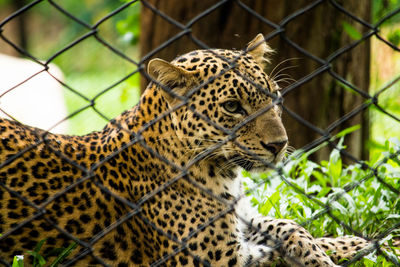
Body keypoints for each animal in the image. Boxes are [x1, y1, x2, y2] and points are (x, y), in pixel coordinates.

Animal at [0, 34, 372, 266]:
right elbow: (274, 250)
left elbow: (292, 227)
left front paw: (357, 242)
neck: (224, 174)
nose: (279, 145)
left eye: (274, 97)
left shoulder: (243, 218)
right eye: (233, 106)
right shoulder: (213, 260)